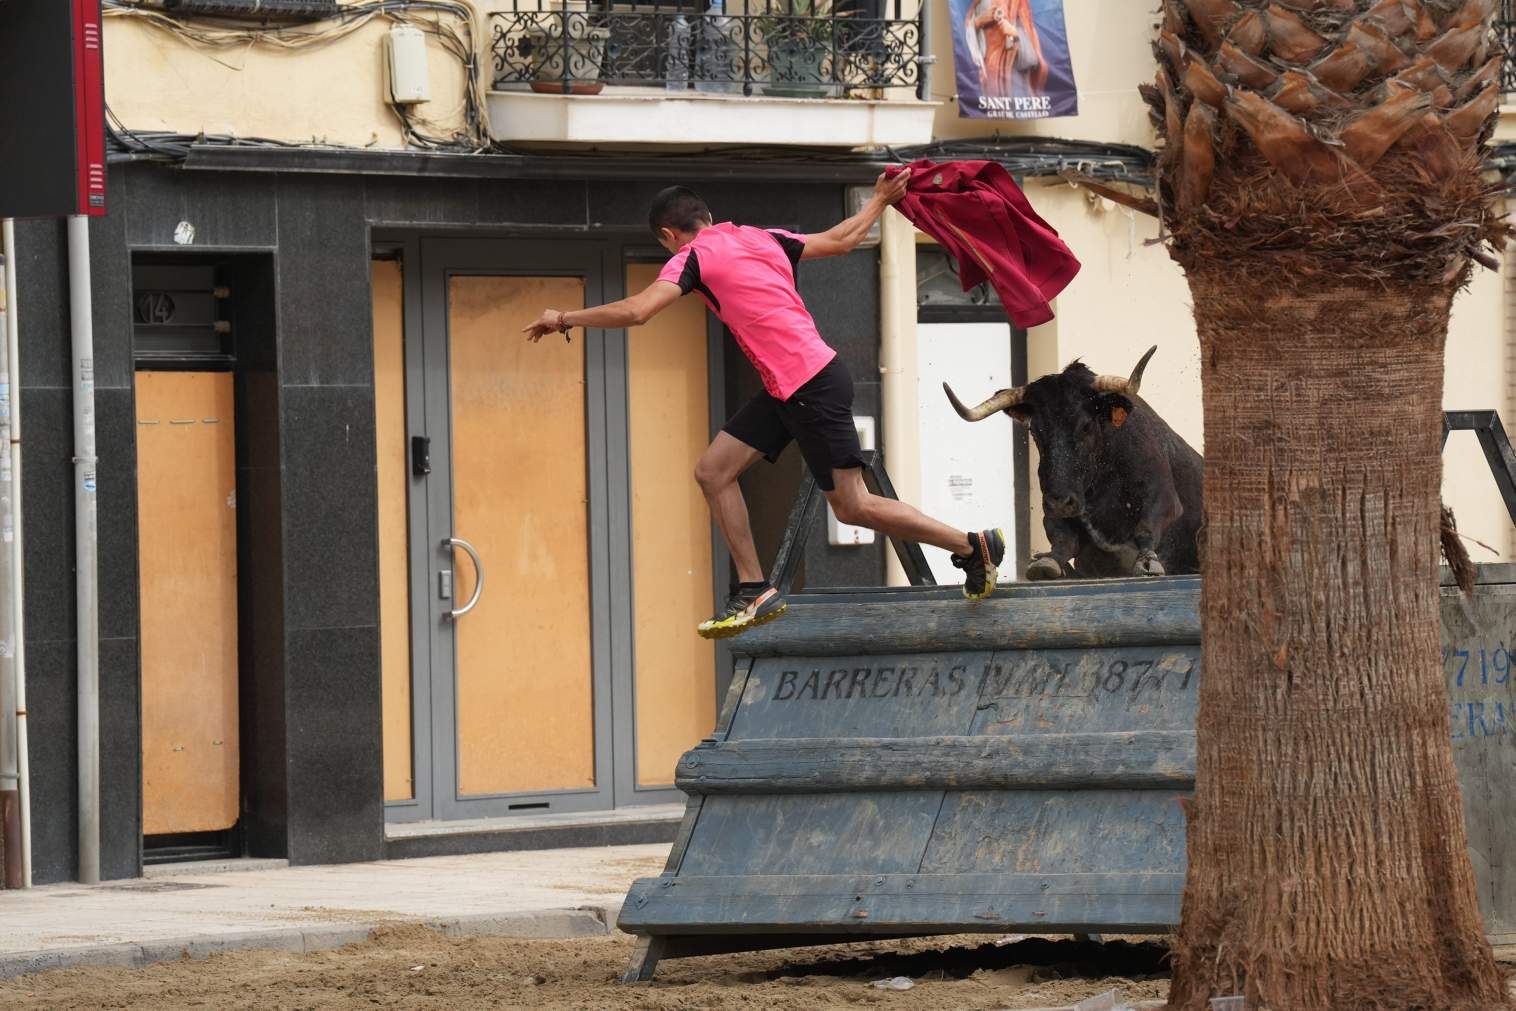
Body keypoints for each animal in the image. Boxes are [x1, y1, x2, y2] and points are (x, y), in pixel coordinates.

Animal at [939, 348, 1200, 582]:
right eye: (1035, 431)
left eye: (1086, 426)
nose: (1062, 502)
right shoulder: (1052, 510)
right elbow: (1063, 539)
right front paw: (1047, 562)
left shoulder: (1164, 498)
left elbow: (1146, 527)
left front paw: (1148, 562)